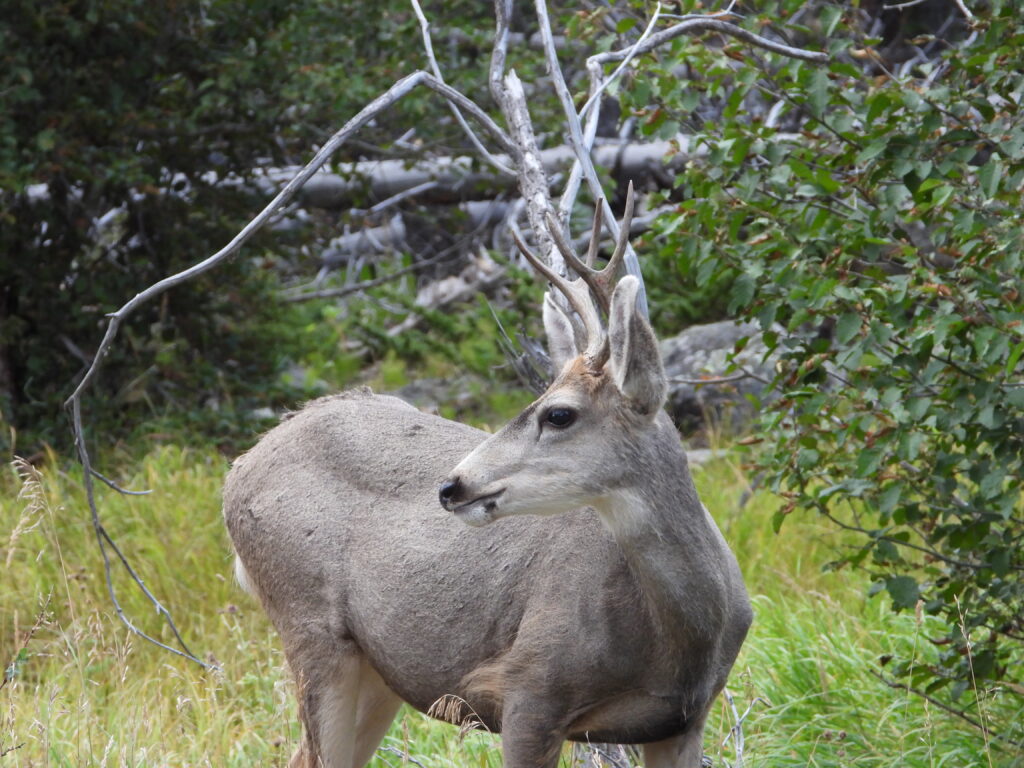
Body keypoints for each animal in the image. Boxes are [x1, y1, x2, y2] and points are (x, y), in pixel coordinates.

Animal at [223, 187, 752, 768]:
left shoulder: (683, 721)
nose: (451, 486)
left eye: (559, 414)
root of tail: (239, 469)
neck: (680, 642)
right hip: (309, 624)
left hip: (377, 668)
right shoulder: (527, 687)